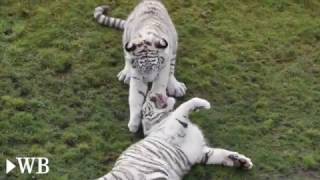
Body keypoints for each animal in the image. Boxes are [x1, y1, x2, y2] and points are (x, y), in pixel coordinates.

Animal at [94, 0, 186, 132]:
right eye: (142, 70)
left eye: (155, 67)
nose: (149, 80)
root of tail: (149, 1)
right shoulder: (137, 76)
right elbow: (135, 97)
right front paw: (134, 123)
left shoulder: (163, 69)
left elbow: (159, 86)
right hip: (126, 37)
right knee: (126, 56)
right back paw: (126, 74)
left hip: (174, 43)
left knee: (172, 69)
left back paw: (175, 86)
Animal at [96, 95, 254, 179]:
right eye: (146, 105)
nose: (152, 95)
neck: (162, 120)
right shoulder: (175, 128)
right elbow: (184, 105)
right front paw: (203, 103)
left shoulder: (201, 153)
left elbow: (221, 153)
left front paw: (241, 161)